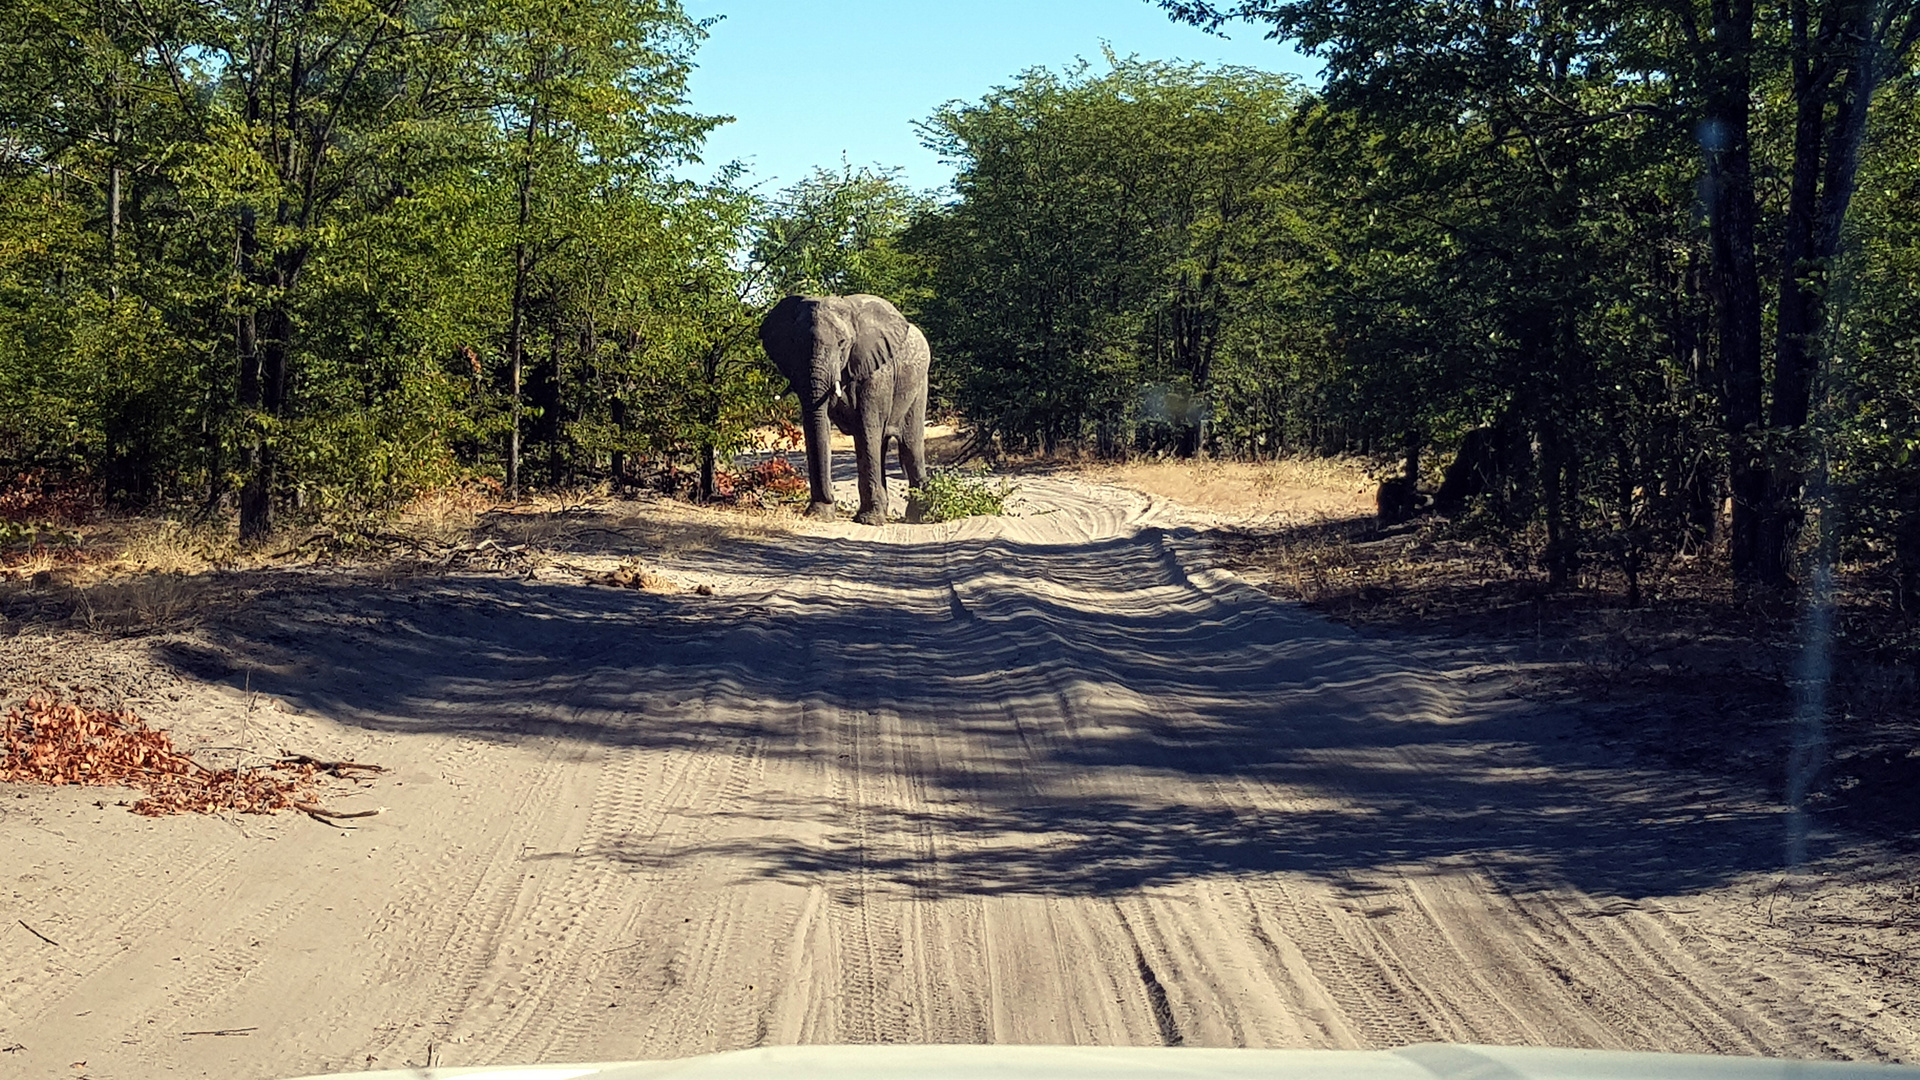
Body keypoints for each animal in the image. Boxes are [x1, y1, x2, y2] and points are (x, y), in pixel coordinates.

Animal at [756, 288, 929, 518]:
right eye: (795, 343)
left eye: (842, 343)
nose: (831, 497)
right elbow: (815, 424)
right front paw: (820, 514)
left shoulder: (877, 372)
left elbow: (866, 429)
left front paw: (869, 520)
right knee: (883, 444)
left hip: (919, 384)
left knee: (910, 446)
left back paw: (918, 517)